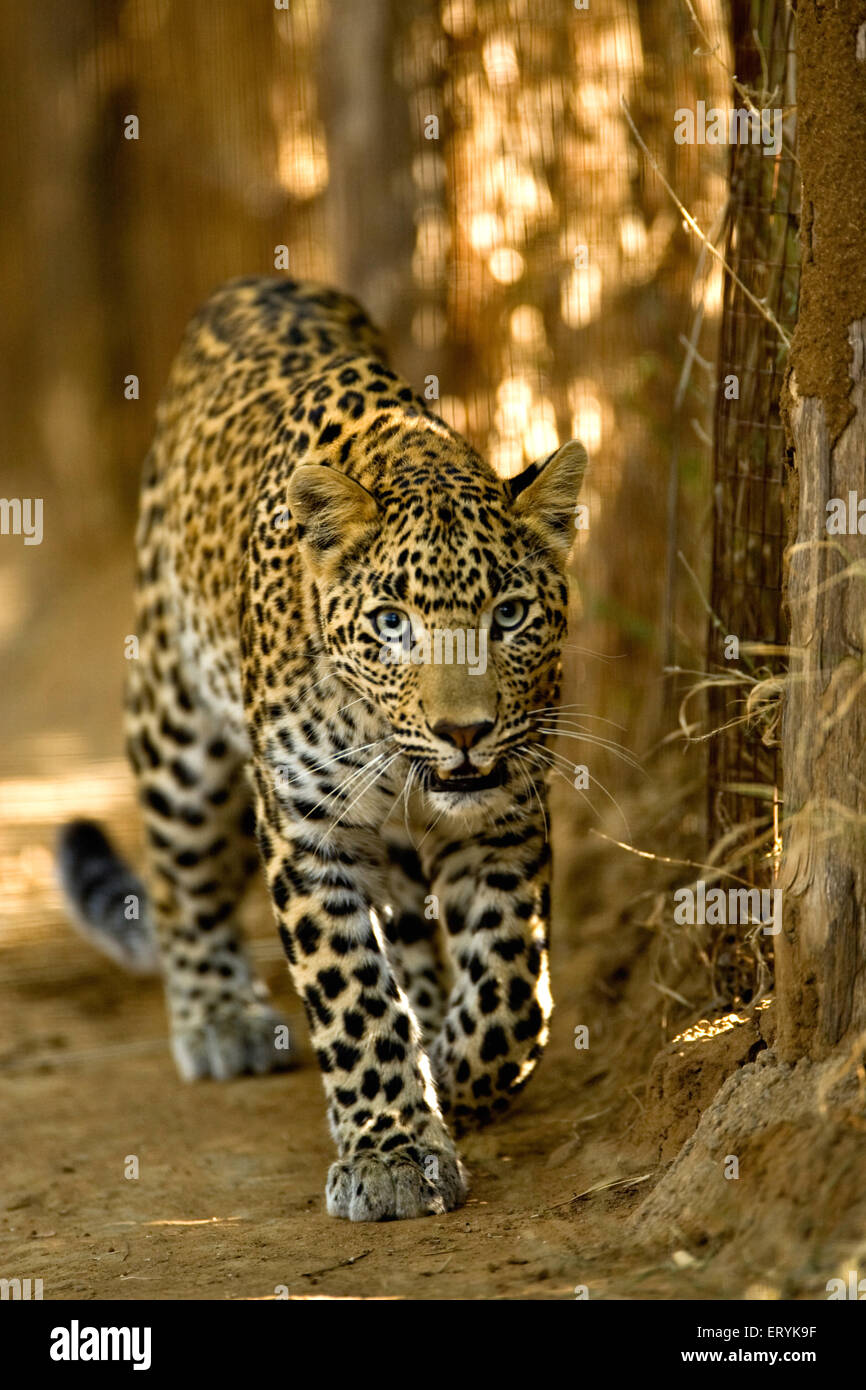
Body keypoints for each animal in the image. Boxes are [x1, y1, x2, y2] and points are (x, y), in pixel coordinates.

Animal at [55, 276, 589, 1223]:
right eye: (391, 623)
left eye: (511, 615)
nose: (464, 732)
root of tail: (260, 281)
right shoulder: (308, 829)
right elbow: (352, 995)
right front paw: (391, 1151)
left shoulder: (504, 814)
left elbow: (511, 987)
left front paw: (455, 1070)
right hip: (175, 727)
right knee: (183, 881)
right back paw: (219, 1019)